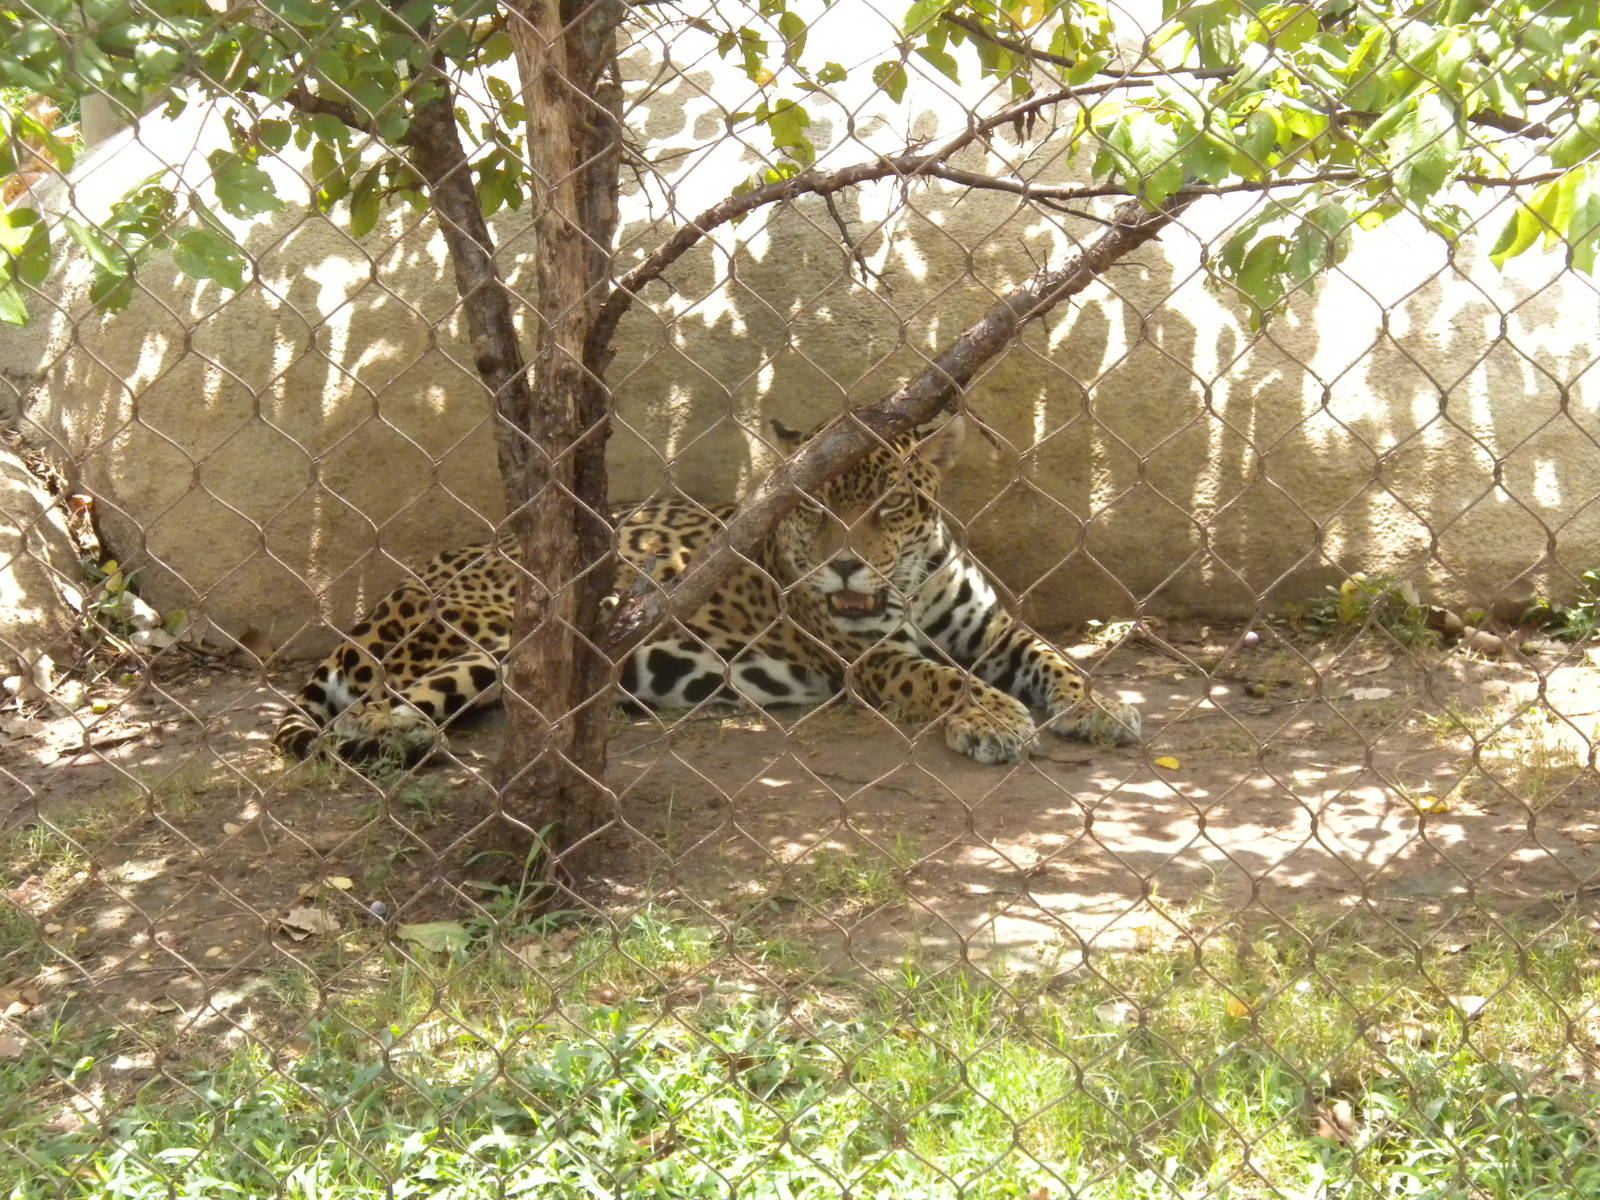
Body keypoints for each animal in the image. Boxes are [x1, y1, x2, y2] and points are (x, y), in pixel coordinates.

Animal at [272, 416, 1141, 768]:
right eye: (812, 507)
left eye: (891, 505)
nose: (846, 565)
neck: (908, 586)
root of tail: (393, 591)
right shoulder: (868, 657)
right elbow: (943, 677)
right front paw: (993, 718)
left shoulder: (989, 628)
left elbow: (1055, 656)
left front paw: (1099, 705)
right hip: (496, 633)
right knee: (365, 711)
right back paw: (396, 736)